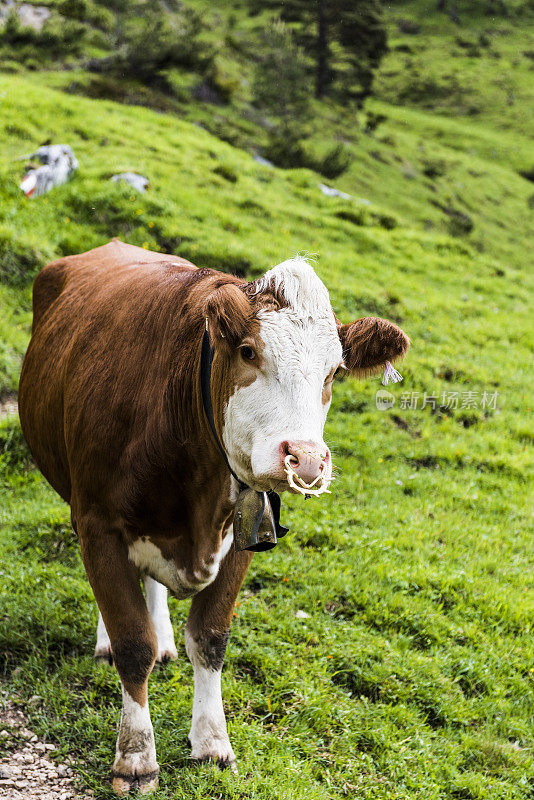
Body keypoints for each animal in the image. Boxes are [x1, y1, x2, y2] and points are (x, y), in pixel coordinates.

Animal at [17, 238, 410, 792]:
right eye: (248, 352)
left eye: (334, 372)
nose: (308, 459)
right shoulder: (97, 521)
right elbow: (131, 641)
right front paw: (135, 757)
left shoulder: (245, 533)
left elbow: (210, 638)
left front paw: (211, 742)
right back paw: (109, 640)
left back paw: (163, 634)